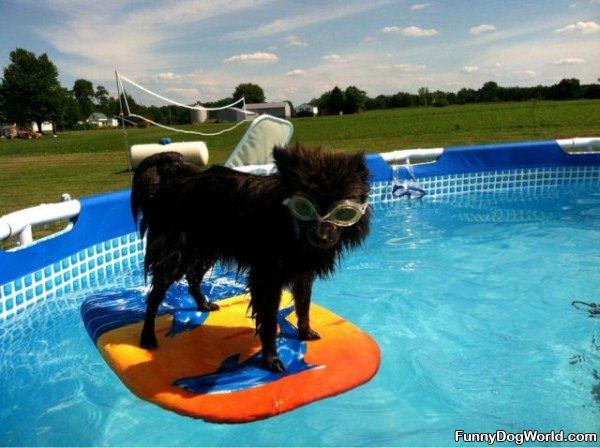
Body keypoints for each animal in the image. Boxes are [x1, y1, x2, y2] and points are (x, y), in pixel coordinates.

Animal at [131, 146, 370, 372]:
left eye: (343, 212)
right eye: (304, 207)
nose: (322, 237)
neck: (290, 227)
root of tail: (171, 183)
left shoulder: (302, 274)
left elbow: (303, 306)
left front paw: (304, 332)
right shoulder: (267, 279)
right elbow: (269, 320)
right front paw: (270, 359)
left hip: (206, 251)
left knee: (193, 277)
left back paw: (203, 304)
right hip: (176, 256)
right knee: (155, 296)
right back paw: (147, 337)